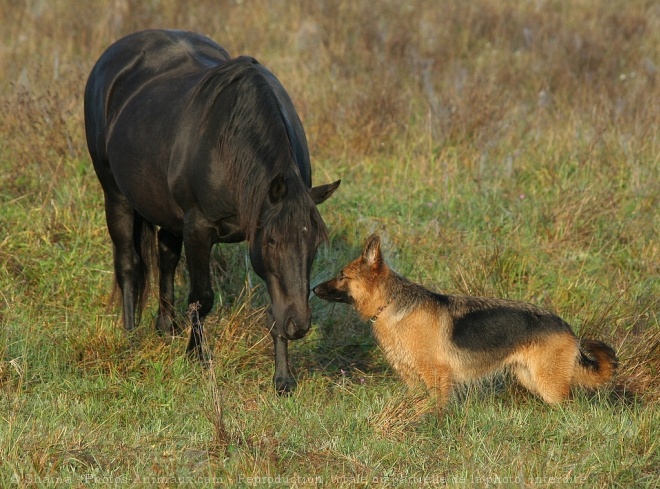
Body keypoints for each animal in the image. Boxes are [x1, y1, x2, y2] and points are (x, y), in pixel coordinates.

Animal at [84, 29, 340, 392]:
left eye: (314, 245)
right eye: (272, 242)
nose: (299, 325)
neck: (228, 148)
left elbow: (274, 306)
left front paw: (283, 378)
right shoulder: (199, 228)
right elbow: (202, 297)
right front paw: (198, 356)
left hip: (165, 210)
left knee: (165, 256)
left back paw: (166, 326)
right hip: (115, 193)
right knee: (128, 264)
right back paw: (131, 336)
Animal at [312, 234, 616, 406]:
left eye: (342, 275)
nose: (312, 289)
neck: (392, 305)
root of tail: (568, 329)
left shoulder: (437, 377)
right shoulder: (413, 381)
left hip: (549, 385)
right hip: (531, 379)